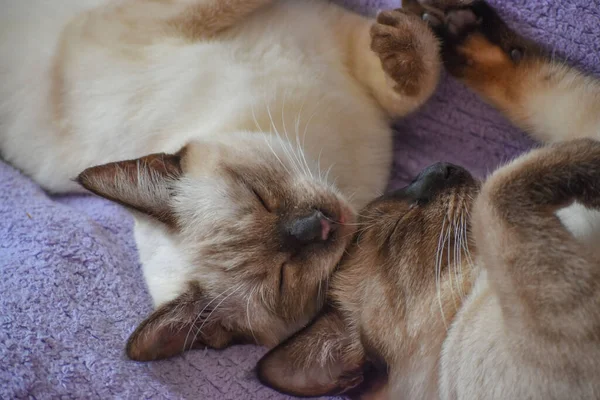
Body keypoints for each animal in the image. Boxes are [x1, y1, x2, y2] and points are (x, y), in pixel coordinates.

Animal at [0, 0, 440, 360]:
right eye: (282, 279)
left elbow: (405, 80)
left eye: (259, 195)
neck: (341, 171)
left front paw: (416, 26)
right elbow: (411, 88)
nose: (317, 225)